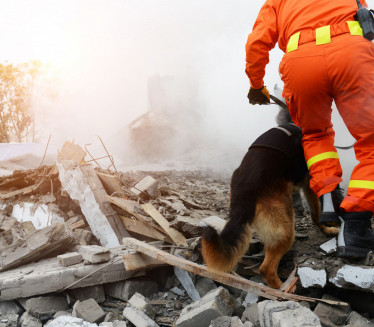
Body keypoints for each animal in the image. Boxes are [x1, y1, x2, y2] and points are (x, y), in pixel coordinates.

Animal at [202, 106, 338, 288]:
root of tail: (246, 190)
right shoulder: (310, 182)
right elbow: (316, 212)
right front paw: (327, 228)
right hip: (285, 228)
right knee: (266, 269)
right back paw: (285, 290)